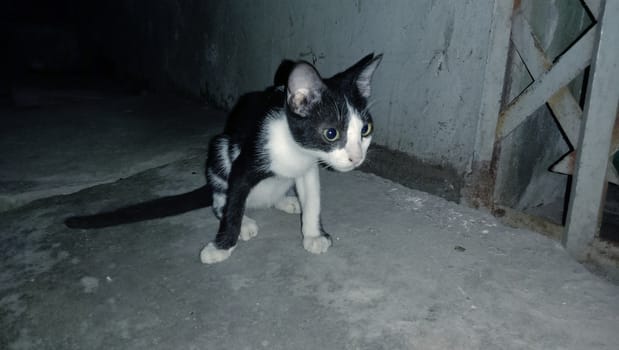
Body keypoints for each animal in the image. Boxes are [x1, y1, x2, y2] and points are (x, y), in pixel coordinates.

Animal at [64, 53, 382, 264]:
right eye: (331, 133)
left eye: (365, 129)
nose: (356, 158)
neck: (296, 148)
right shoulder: (245, 162)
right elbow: (232, 206)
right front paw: (221, 246)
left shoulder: (308, 169)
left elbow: (313, 199)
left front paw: (314, 234)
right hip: (220, 149)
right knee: (220, 201)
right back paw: (247, 222)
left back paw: (286, 201)